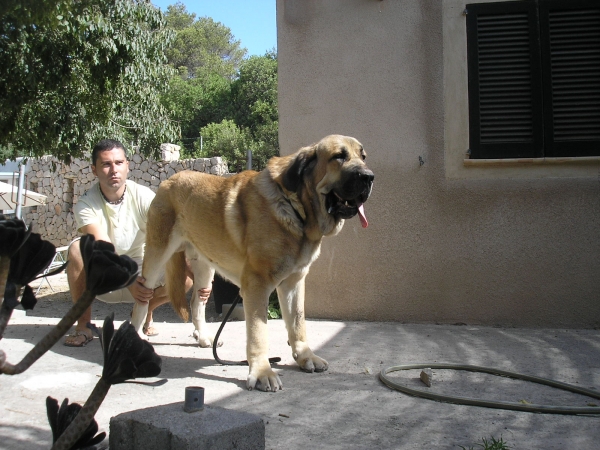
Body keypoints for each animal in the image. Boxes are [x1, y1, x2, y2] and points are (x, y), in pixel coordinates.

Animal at [134, 134, 372, 390]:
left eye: (363, 157)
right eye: (339, 156)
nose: (369, 177)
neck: (295, 206)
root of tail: (168, 180)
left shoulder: (293, 283)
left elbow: (298, 323)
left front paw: (304, 357)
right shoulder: (257, 285)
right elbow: (259, 333)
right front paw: (261, 372)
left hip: (205, 269)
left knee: (197, 304)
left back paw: (204, 337)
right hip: (157, 258)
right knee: (141, 301)